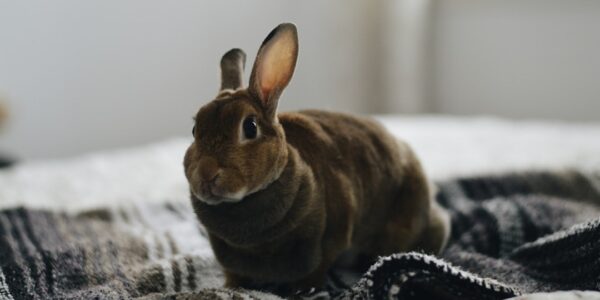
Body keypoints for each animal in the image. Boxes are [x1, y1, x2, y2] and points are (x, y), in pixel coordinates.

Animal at [183, 22, 450, 292]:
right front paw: (230, 287)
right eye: (195, 130)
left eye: (250, 127)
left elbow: (318, 267)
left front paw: (303, 289)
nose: (206, 173)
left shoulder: (330, 236)